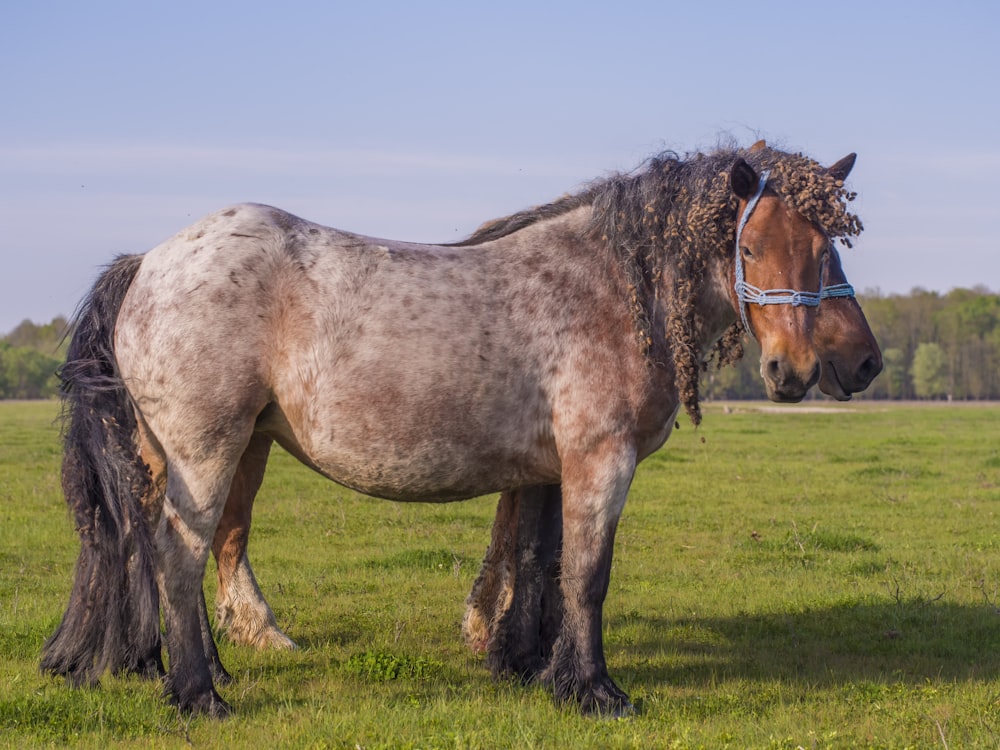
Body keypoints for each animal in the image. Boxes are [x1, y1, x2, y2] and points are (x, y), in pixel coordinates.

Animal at [41, 138, 860, 720]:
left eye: (828, 247)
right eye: (749, 248)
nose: (814, 368)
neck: (612, 290)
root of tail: (148, 263)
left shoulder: (550, 470)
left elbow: (536, 564)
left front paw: (530, 668)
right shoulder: (601, 461)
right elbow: (587, 576)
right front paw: (595, 692)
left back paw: (204, 671)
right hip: (206, 453)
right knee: (178, 557)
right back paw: (199, 695)